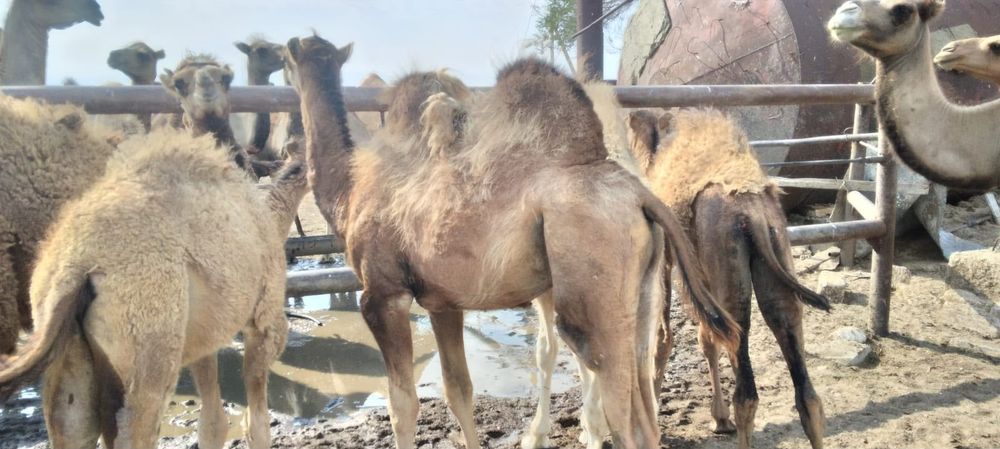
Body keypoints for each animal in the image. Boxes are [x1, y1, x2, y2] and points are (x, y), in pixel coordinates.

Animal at [0, 129, 308, 449]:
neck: (271, 220)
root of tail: (73, 270)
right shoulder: (264, 321)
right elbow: (256, 425)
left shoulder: (204, 338)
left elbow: (212, 424)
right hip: (146, 345)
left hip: (70, 353)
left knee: (72, 426)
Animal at [284, 34, 739, 449]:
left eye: (287, 62)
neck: (349, 191)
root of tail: (641, 194)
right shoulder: (442, 301)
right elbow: (458, 391)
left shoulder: (382, 295)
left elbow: (403, 406)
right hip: (642, 294)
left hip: (594, 290)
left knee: (624, 413)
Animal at [626, 108, 830, 449]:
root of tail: (755, 217)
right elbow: (707, 338)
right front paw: (719, 420)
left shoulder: (666, 256)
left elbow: (664, 337)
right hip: (775, 256)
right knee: (805, 387)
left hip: (730, 265)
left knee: (746, 391)